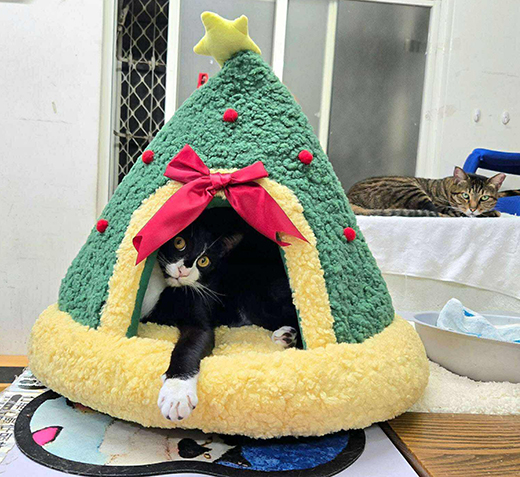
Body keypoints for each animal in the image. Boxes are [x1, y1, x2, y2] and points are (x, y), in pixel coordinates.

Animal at [141, 208, 300, 422]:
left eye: (204, 261)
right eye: (179, 242)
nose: (184, 270)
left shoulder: (199, 316)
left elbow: (188, 347)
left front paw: (176, 394)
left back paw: (287, 336)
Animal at [347, 167, 506, 217]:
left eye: (484, 198)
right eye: (465, 195)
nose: (473, 208)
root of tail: (349, 197)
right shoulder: (445, 206)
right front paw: (493, 212)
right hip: (410, 190)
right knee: (435, 212)